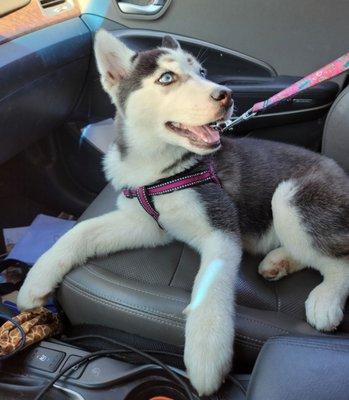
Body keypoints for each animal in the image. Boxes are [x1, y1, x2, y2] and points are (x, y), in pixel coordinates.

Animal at [17, 30, 348, 394]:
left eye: (202, 72)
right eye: (167, 78)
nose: (226, 95)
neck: (157, 167)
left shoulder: (221, 225)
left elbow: (209, 284)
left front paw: (206, 351)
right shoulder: (145, 223)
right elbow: (79, 231)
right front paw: (36, 280)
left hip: (291, 198)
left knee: (339, 259)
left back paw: (325, 299)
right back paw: (279, 261)